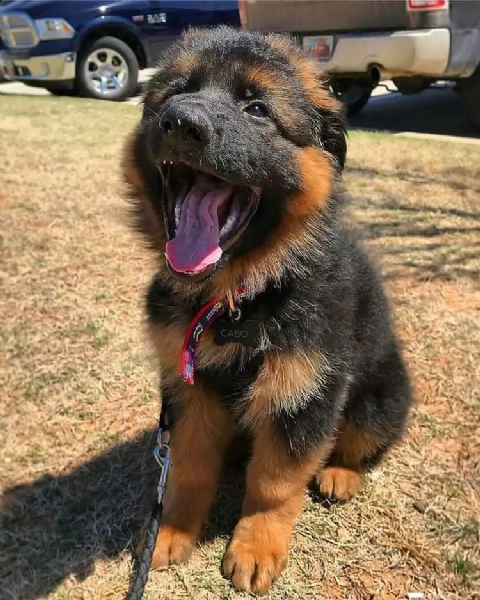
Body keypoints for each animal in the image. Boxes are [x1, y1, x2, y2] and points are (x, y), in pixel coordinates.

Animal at [124, 25, 412, 592]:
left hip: (378, 400)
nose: (181, 122)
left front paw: (255, 547)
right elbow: (189, 465)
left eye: (256, 109)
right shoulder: (188, 389)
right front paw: (171, 531)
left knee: (362, 442)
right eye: (173, 94)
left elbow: (274, 484)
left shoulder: (305, 390)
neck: (239, 296)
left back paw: (339, 474)